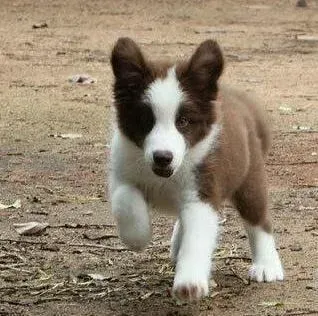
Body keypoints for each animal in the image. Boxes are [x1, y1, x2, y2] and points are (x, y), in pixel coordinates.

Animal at [108, 37, 284, 302]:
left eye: (183, 121)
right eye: (146, 121)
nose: (162, 158)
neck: (168, 177)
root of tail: (243, 104)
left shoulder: (204, 189)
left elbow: (198, 237)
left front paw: (189, 282)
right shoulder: (121, 172)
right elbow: (125, 199)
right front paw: (137, 236)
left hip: (249, 178)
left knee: (258, 220)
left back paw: (267, 265)